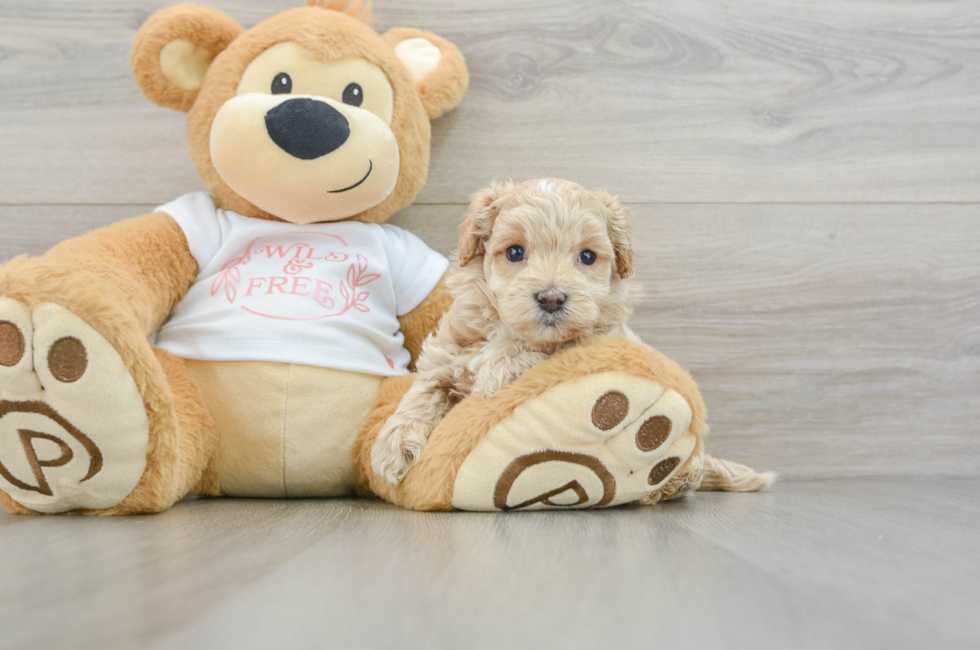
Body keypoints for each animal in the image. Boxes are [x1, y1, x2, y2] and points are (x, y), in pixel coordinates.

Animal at [372, 180, 640, 484]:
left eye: (587, 256)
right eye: (514, 252)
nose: (551, 298)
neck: (502, 327)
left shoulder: (594, 338)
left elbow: (546, 347)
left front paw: (497, 371)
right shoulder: (445, 356)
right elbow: (423, 391)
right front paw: (394, 444)